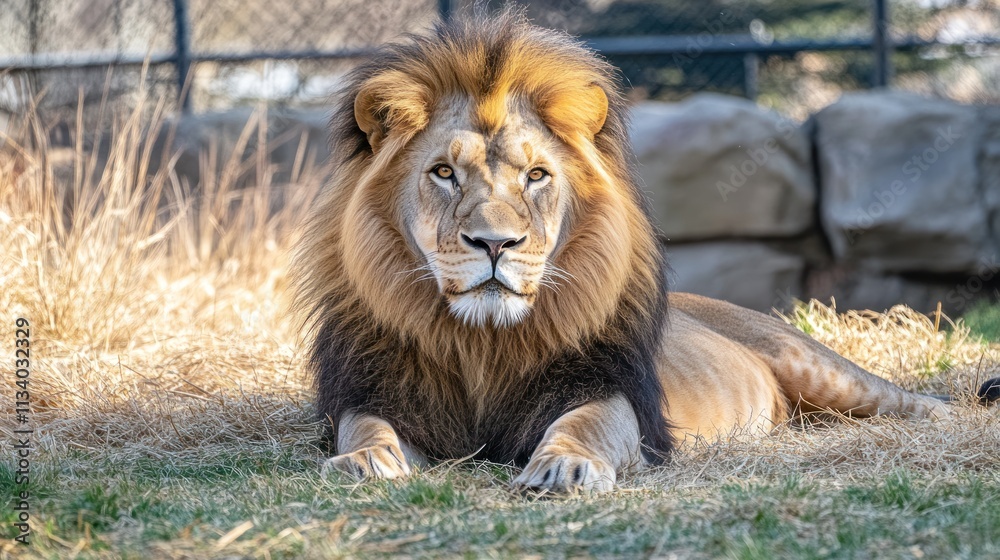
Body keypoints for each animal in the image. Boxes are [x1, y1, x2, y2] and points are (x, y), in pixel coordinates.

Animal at [295, 10, 1000, 493]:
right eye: (443, 173)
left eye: (536, 176)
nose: (495, 243)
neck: (482, 343)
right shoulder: (374, 391)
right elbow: (366, 426)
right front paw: (364, 460)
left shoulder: (610, 391)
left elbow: (584, 425)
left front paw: (565, 468)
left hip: (817, 364)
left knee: (922, 404)